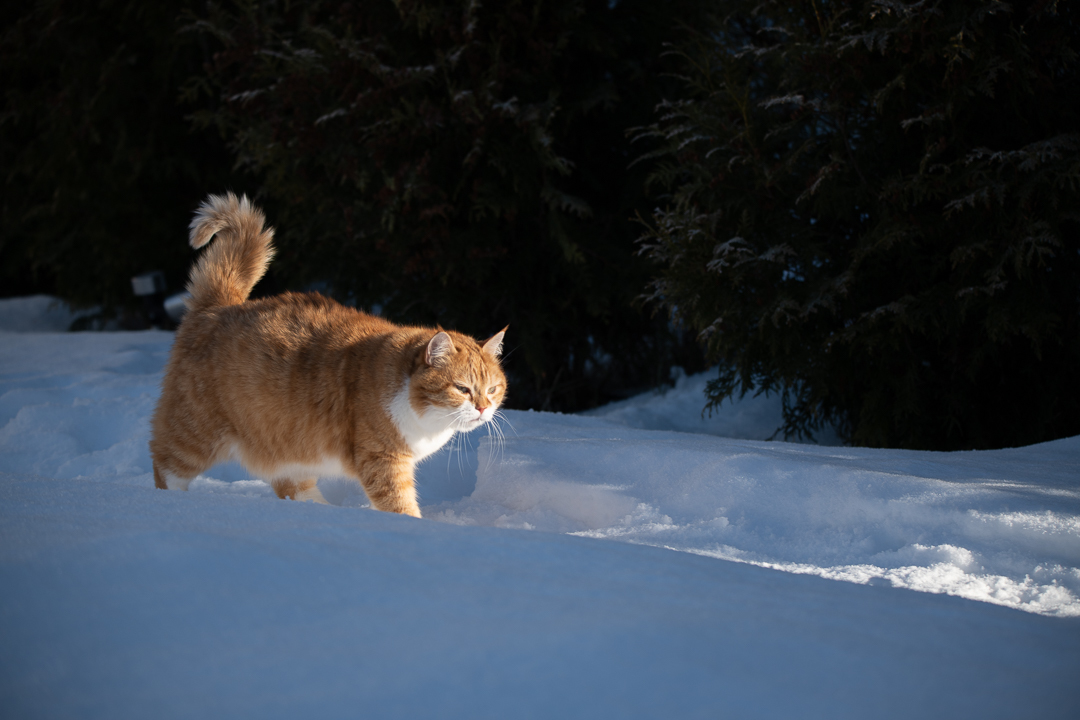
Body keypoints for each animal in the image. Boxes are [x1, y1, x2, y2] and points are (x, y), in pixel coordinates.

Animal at [150, 191, 507, 518]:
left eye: (492, 389)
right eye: (462, 388)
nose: (483, 408)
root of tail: (218, 306)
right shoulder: (382, 461)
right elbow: (401, 507)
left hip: (285, 444)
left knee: (291, 485)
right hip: (195, 433)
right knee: (164, 464)